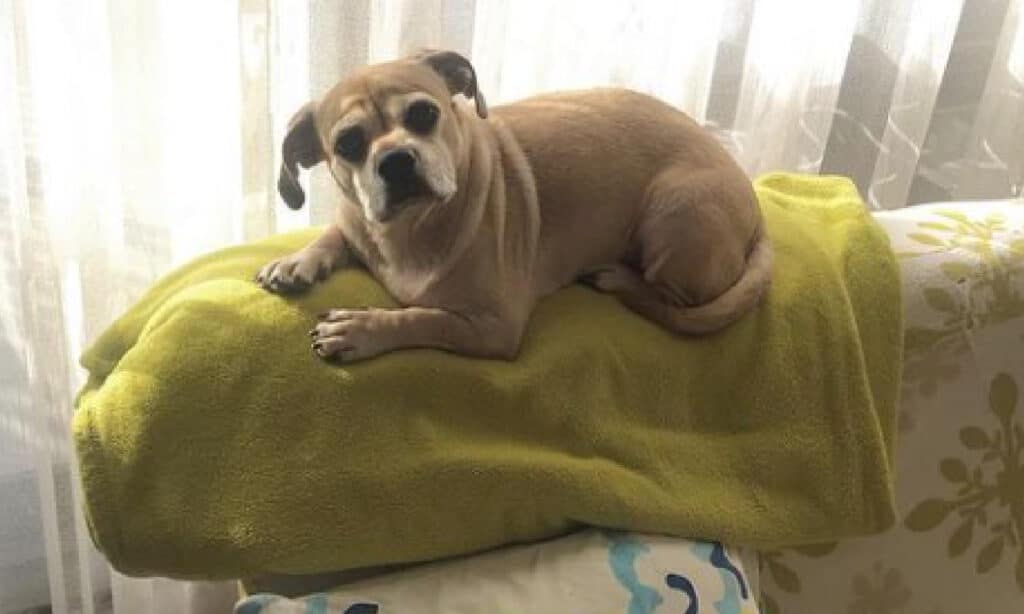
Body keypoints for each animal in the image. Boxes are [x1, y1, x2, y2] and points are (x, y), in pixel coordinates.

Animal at [253, 51, 770, 364]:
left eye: (424, 114)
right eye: (348, 144)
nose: (396, 160)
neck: (411, 230)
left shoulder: (493, 327)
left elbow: (426, 317)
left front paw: (364, 327)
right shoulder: (355, 220)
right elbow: (336, 232)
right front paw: (297, 261)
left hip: (675, 212)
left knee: (670, 300)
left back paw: (620, 278)